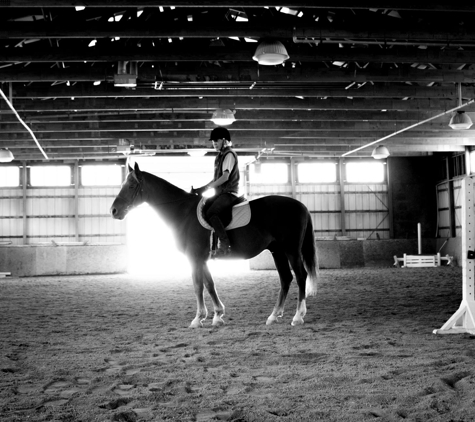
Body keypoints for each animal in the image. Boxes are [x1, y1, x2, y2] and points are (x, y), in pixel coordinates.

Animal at [110, 163, 320, 328]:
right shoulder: (201, 259)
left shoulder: (194, 258)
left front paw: (198, 319)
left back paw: (298, 316)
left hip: (291, 251)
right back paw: (273, 316)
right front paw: (218, 315)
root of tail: (301, 206)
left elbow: (197, 285)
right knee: (285, 278)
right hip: (278, 251)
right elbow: (209, 284)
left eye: (130, 185)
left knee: (300, 276)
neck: (183, 212)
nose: (114, 210)